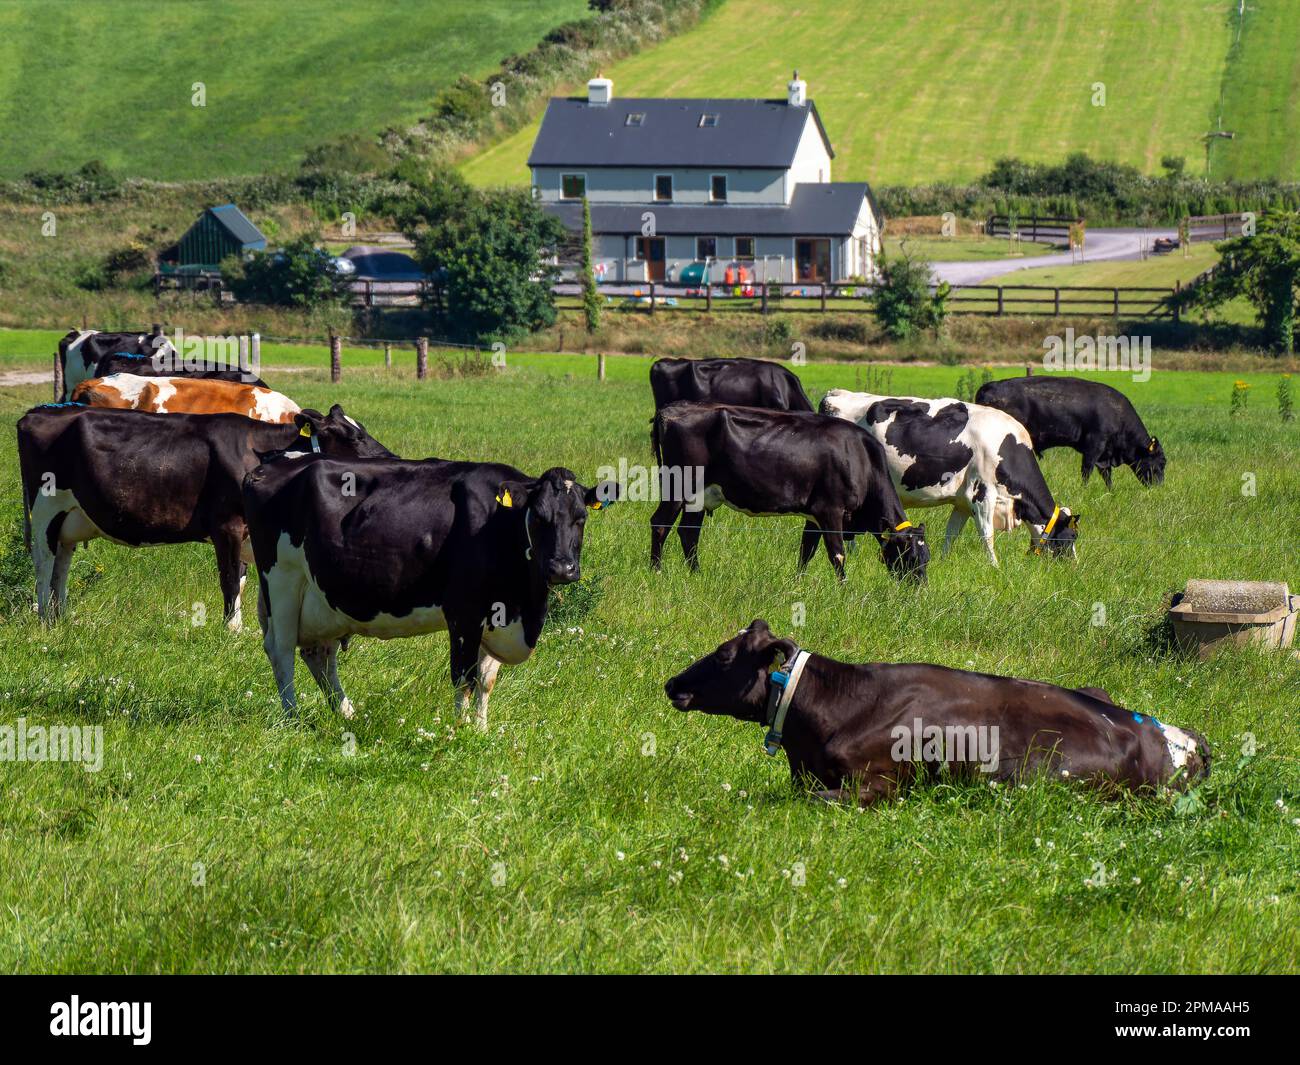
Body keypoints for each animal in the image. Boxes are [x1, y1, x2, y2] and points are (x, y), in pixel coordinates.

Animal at [18, 403, 390, 628]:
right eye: (352, 434)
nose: (390, 459)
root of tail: (38, 412)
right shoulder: (227, 525)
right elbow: (229, 579)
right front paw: (232, 631)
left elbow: (242, 579)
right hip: (45, 507)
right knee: (43, 562)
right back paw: (45, 621)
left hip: (70, 518)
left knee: (61, 564)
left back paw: (62, 617)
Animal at [241, 454, 617, 730]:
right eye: (538, 517)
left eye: (581, 518)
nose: (562, 569)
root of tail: (268, 467)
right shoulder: (464, 612)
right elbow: (464, 677)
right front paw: (460, 731)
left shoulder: (497, 613)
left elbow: (486, 679)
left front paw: (482, 731)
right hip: (282, 581)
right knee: (281, 650)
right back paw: (293, 719)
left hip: (325, 600)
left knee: (319, 655)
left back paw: (348, 714)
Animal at [649, 401, 929, 581]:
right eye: (910, 557)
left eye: (927, 557)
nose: (918, 589)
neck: (861, 458)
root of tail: (671, 409)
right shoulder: (830, 510)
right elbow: (837, 554)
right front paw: (844, 589)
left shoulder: (814, 515)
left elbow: (806, 552)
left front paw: (798, 583)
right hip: (678, 485)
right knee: (660, 523)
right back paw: (657, 572)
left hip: (699, 495)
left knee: (689, 533)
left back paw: (696, 574)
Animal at [819, 390, 1078, 566]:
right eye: (1072, 536)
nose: (1074, 567)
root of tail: (836, 395)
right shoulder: (982, 495)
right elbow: (987, 535)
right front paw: (994, 567)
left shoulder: (962, 503)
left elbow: (951, 535)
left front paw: (943, 561)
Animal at [975, 375, 1166, 488]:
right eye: (1161, 462)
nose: (1159, 487)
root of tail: (989, 386)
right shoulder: (1094, 447)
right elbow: (1086, 470)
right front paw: (1084, 489)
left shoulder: (1104, 455)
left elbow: (1106, 475)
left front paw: (1110, 491)